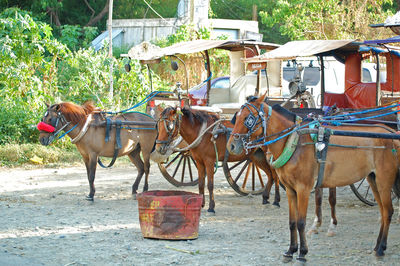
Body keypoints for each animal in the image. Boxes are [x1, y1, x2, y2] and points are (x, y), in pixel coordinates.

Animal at [153, 106, 282, 212]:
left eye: (169, 126)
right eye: (158, 125)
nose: (159, 147)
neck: (203, 132)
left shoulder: (209, 162)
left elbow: (210, 185)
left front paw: (211, 207)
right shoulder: (199, 162)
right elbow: (201, 184)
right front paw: (201, 204)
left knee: (275, 176)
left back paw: (276, 200)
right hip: (256, 156)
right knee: (270, 175)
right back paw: (265, 198)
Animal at [227, 93, 400, 262]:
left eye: (248, 118)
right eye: (237, 116)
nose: (231, 146)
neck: (294, 142)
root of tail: (392, 134)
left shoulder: (303, 189)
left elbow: (301, 222)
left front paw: (302, 253)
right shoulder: (290, 190)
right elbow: (292, 222)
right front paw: (290, 251)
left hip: (384, 181)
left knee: (388, 211)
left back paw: (381, 248)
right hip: (373, 179)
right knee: (383, 212)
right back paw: (377, 246)